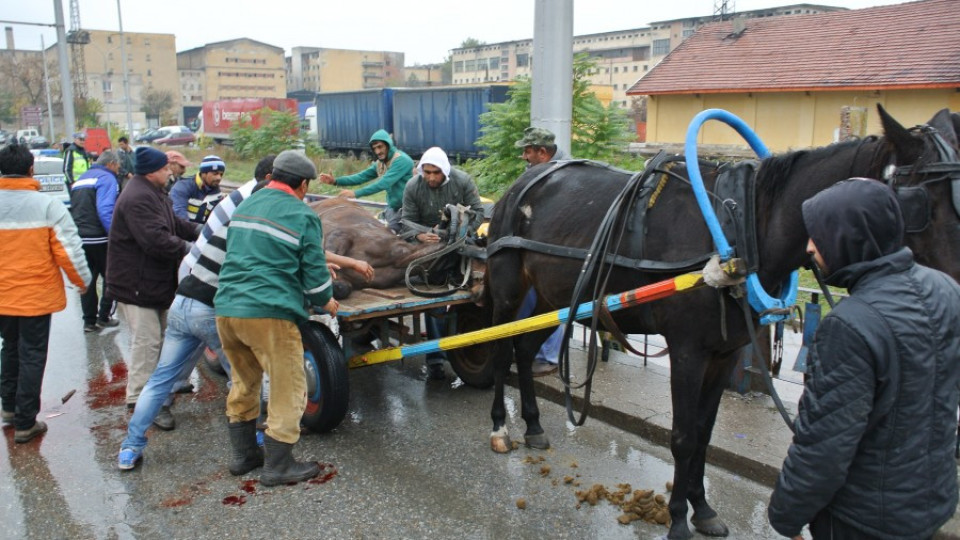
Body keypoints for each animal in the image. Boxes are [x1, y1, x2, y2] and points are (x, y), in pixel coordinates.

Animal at [484, 106, 960, 540]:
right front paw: (678, 521)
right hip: (508, 294)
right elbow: (682, 436)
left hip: (557, 300)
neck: (742, 229)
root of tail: (525, 181)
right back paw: (500, 427)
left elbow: (704, 435)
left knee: (523, 350)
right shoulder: (688, 352)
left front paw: (703, 509)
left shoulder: (723, 354)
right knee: (500, 349)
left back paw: (533, 425)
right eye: (923, 201)